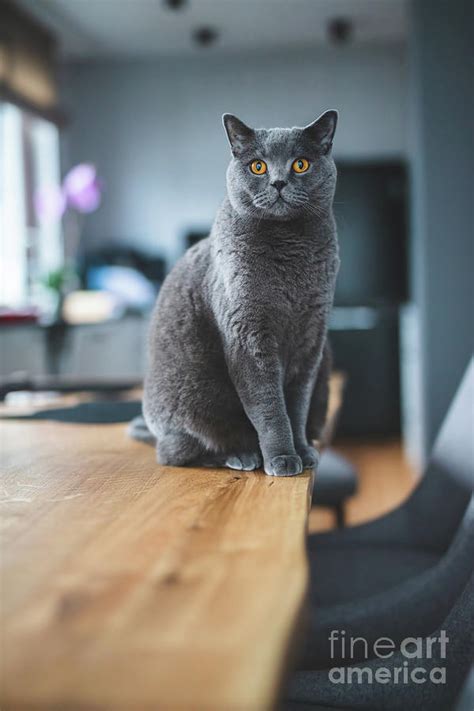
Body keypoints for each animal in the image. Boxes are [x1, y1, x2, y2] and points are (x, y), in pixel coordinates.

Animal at [130, 111, 336, 478]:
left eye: (300, 164)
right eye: (258, 166)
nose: (278, 182)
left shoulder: (312, 338)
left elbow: (297, 405)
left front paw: (301, 451)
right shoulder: (248, 337)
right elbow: (270, 407)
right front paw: (282, 458)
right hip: (193, 398)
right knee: (178, 452)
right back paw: (242, 455)